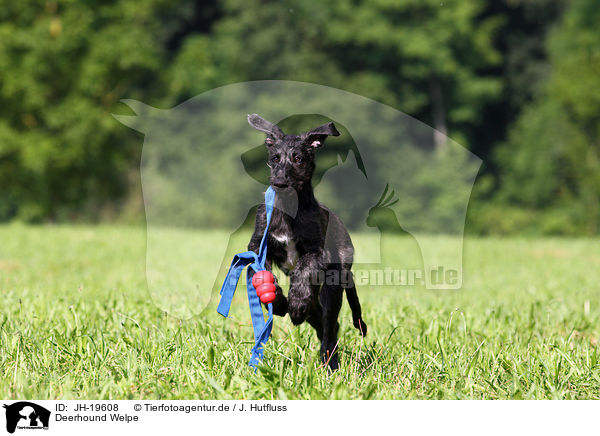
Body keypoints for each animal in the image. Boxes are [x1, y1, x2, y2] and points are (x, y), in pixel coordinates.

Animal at [245, 114, 366, 370]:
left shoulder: (317, 252)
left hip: (333, 285)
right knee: (324, 323)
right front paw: (280, 301)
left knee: (329, 326)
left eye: (298, 158)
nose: (279, 182)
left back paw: (330, 363)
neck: (288, 208)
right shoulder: (258, 247)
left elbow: (303, 267)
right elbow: (264, 273)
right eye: (275, 158)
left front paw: (296, 301)